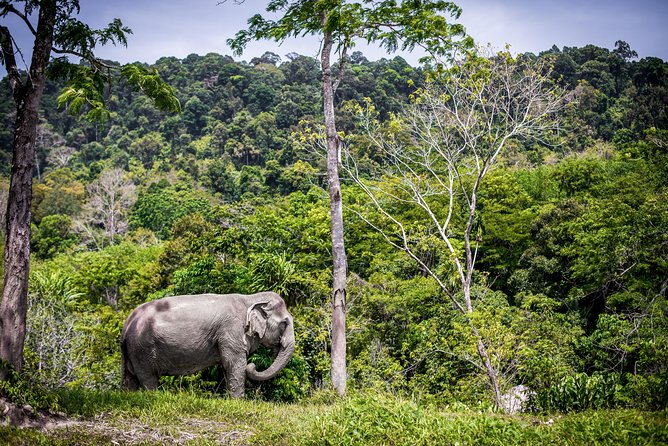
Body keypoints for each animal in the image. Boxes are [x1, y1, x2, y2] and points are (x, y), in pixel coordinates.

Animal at [119, 292, 294, 398]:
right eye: (284, 323)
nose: (253, 366)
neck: (250, 298)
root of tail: (126, 324)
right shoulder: (231, 330)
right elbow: (234, 363)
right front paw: (239, 402)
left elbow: (227, 366)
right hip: (143, 349)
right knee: (148, 378)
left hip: (133, 351)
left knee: (131, 377)